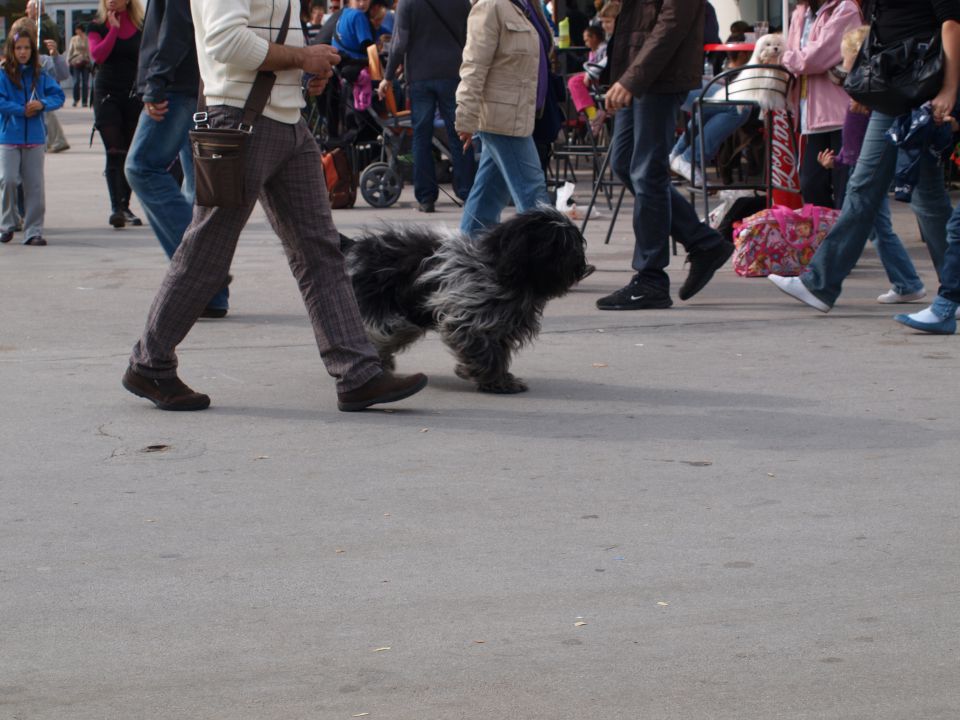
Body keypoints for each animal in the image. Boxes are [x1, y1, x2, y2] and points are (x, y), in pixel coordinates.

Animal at [342, 205, 588, 394]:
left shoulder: (499, 325)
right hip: (384, 309)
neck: (498, 269)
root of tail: (358, 249)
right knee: (386, 331)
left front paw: (498, 379)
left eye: (574, 240)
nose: (581, 264)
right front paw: (490, 379)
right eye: (558, 243)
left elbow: (496, 351)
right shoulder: (467, 318)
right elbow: (484, 351)